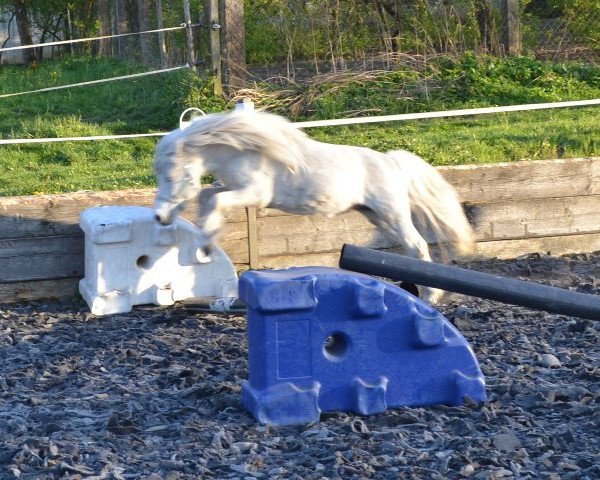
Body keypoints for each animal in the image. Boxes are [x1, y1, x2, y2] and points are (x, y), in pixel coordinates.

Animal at [154, 110, 474, 302]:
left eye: (169, 176)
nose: (159, 217)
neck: (243, 148)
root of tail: (392, 162)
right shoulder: (235, 189)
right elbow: (207, 197)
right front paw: (205, 243)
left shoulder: (256, 194)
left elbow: (214, 199)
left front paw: (208, 242)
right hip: (377, 217)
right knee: (410, 249)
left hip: (392, 214)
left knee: (418, 246)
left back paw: (430, 296)